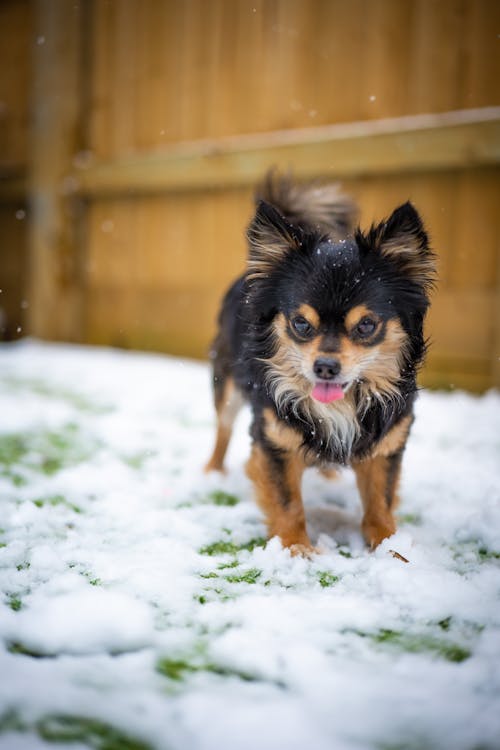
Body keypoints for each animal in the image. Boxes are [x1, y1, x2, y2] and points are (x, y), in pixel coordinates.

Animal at [205, 173, 436, 556]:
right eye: (301, 324)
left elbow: (380, 501)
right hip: (227, 385)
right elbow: (288, 502)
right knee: (222, 429)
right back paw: (211, 472)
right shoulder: (274, 441)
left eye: (366, 325)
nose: (325, 366)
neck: (343, 404)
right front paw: (296, 547)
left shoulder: (386, 445)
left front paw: (391, 548)